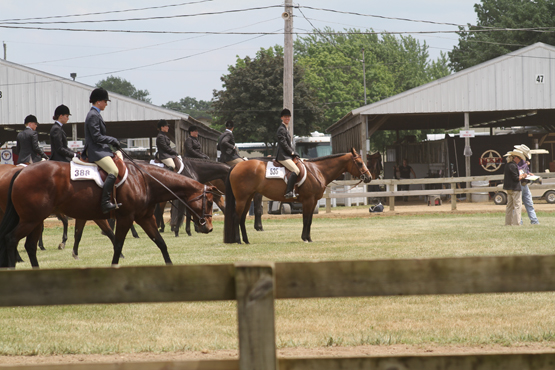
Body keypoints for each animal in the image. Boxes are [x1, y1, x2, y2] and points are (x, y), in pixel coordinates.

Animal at [0, 160, 215, 268]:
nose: (209, 228)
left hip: (35, 220)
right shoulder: (126, 218)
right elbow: (117, 245)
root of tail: (21, 171)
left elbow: (161, 243)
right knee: (10, 239)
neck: (143, 180)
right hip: (31, 220)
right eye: (210, 201)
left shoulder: (145, 218)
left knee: (29, 246)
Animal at [224, 149, 372, 244]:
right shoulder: (308, 200)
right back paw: (238, 241)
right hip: (242, 199)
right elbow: (306, 219)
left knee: (242, 218)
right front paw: (305, 238)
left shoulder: (313, 202)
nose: (369, 177)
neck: (317, 170)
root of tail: (237, 166)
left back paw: (246, 240)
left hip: (248, 198)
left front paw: (309, 238)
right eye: (360, 163)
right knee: (236, 217)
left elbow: (310, 220)